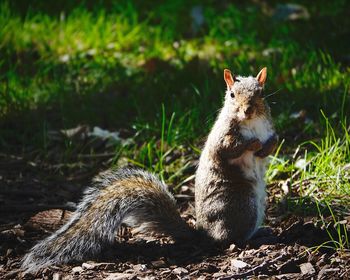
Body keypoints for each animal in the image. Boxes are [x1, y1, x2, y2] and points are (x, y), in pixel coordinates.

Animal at [20, 66, 278, 272]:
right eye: (232, 94)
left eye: (261, 93)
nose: (247, 110)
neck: (251, 123)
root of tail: (203, 233)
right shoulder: (222, 138)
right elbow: (229, 149)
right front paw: (252, 144)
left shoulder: (267, 129)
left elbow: (271, 144)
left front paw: (267, 145)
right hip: (241, 204)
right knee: (228, 239)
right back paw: (248, 240)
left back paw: (262, 232)